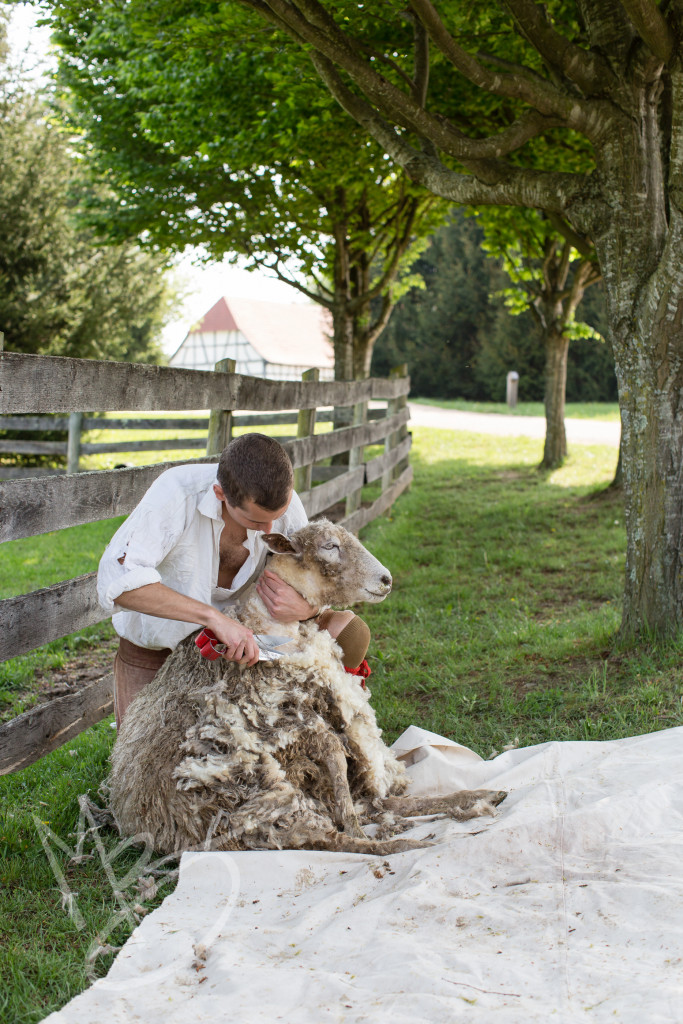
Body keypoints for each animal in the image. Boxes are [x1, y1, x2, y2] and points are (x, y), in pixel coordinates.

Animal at [105, 516, 501, 860]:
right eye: (330, 546)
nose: (386, 579)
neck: (271, 626)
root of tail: (130, 816)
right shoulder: (296, 723)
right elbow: (338, 764)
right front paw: (358, 826)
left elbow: (351, 773)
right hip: (260, 807)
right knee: (337, 839)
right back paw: (410, 843)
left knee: (378, 803)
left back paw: (482, 794)